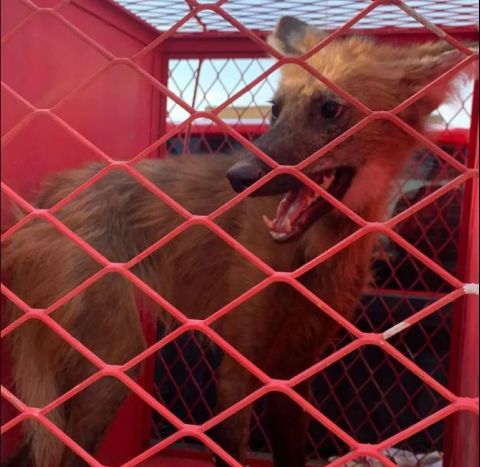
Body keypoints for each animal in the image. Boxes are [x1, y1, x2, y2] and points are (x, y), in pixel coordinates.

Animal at [2, 16, 476, 467]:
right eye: (276, 110)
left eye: (330, 109)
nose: (241, 177)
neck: (306, 259)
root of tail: (44, 200)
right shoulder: (238, 366)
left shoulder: (293, 373)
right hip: (114, 366)